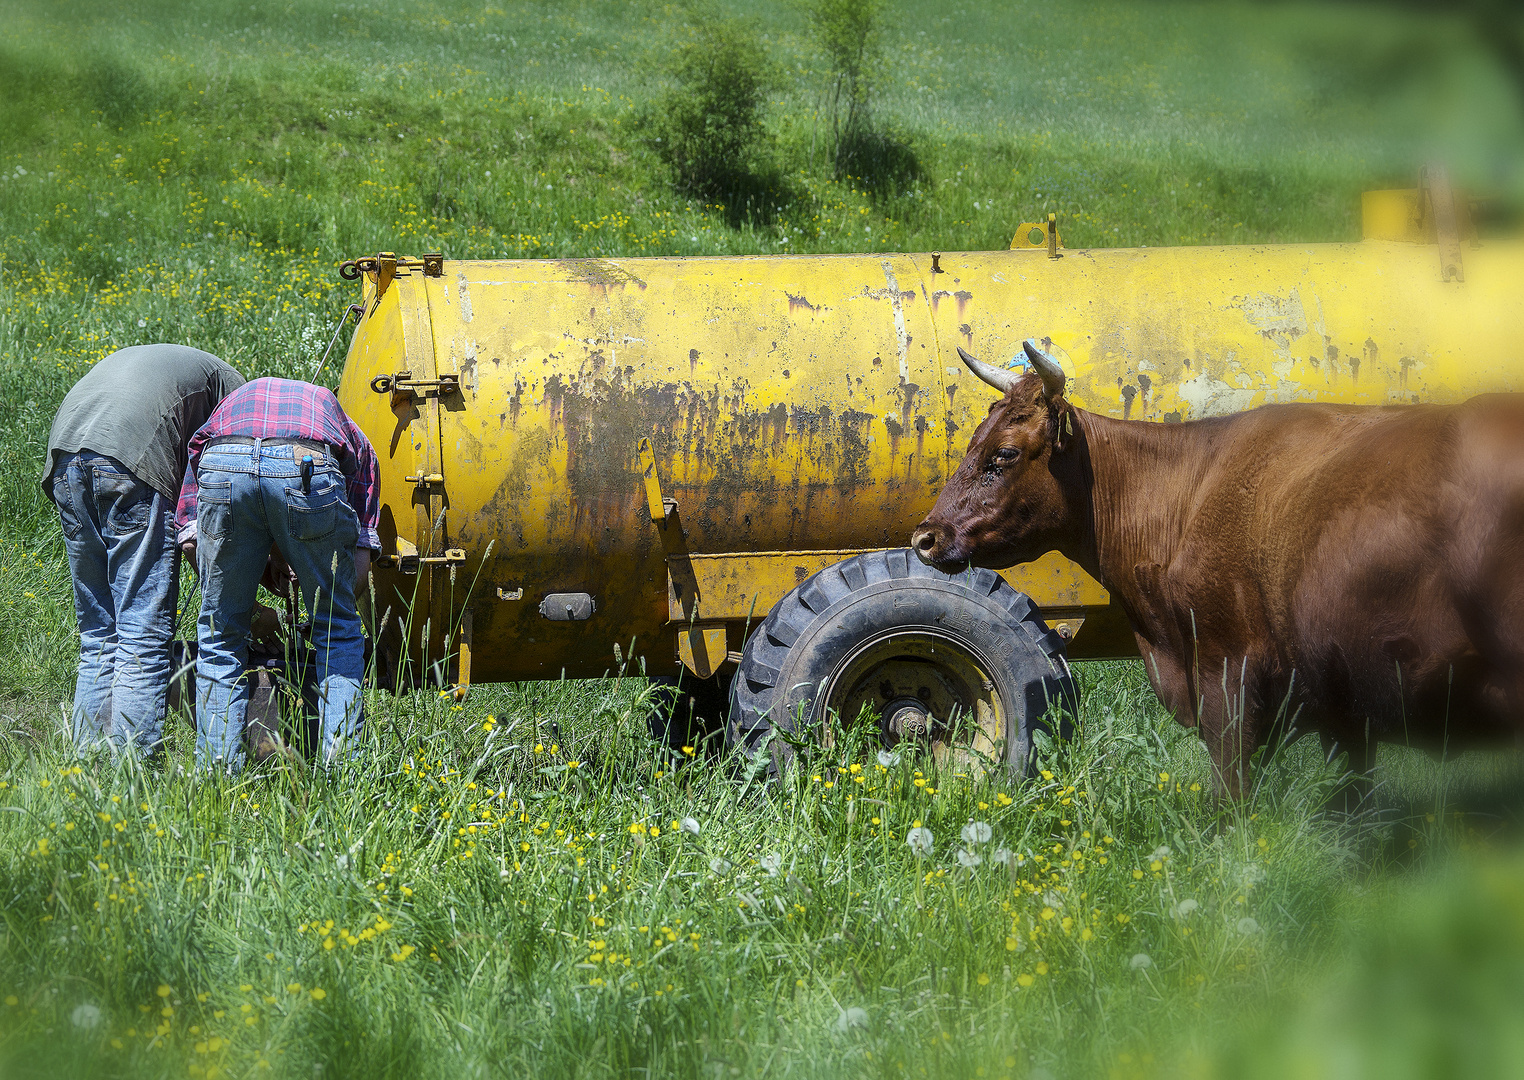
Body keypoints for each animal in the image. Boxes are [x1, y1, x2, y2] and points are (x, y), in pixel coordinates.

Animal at [914, 341, 1524, 798]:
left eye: (1005, 454)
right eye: (971, 441)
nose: (925, 537)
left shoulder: (1228, 669)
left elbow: (1231, 797)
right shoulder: (1344, 691)